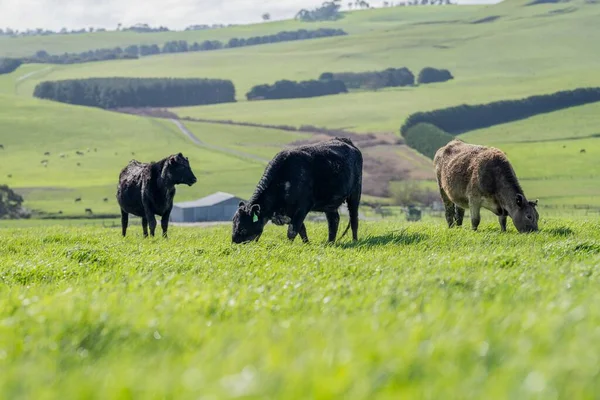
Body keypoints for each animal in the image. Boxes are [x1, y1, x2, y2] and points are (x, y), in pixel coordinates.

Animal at [231, 138, 360, 244]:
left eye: (243, 228)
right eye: (233, 224)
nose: (234, 244)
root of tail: (346, 141)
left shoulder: (302, 207)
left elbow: (292, 231)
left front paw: (288, 246)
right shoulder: (290, 212)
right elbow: (301, 230)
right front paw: (306, 244)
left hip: (355, 194)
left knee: (354, 219)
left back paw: (354, 241)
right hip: (330, 202)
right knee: (334, 220)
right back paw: (330, 242)